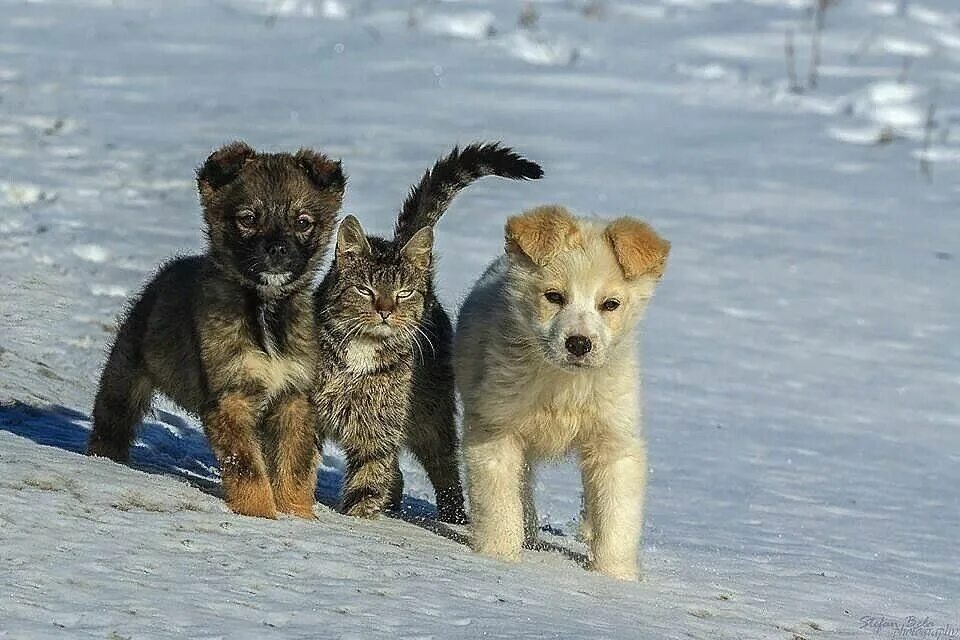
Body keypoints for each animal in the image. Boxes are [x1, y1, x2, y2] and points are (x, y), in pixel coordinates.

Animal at [87, 141, 344, 520]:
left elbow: (294, 466)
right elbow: (248, 466)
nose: (278, 250)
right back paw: (104, 460)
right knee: (112, 421)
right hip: (125, 377)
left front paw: (297, 514)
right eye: (248, 218)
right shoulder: (230, 399)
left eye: (303, 223)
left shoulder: (294, 398)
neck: (264, 311)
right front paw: (260, 513)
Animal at [456, 205, 668, 580]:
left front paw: (616, 577)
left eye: (610, 304)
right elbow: (499, 502)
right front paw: (498, 556)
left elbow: (618, 517)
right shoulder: (494, 428)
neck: (564, 388)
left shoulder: (615, 441)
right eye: (554, 296)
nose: (579, 344)